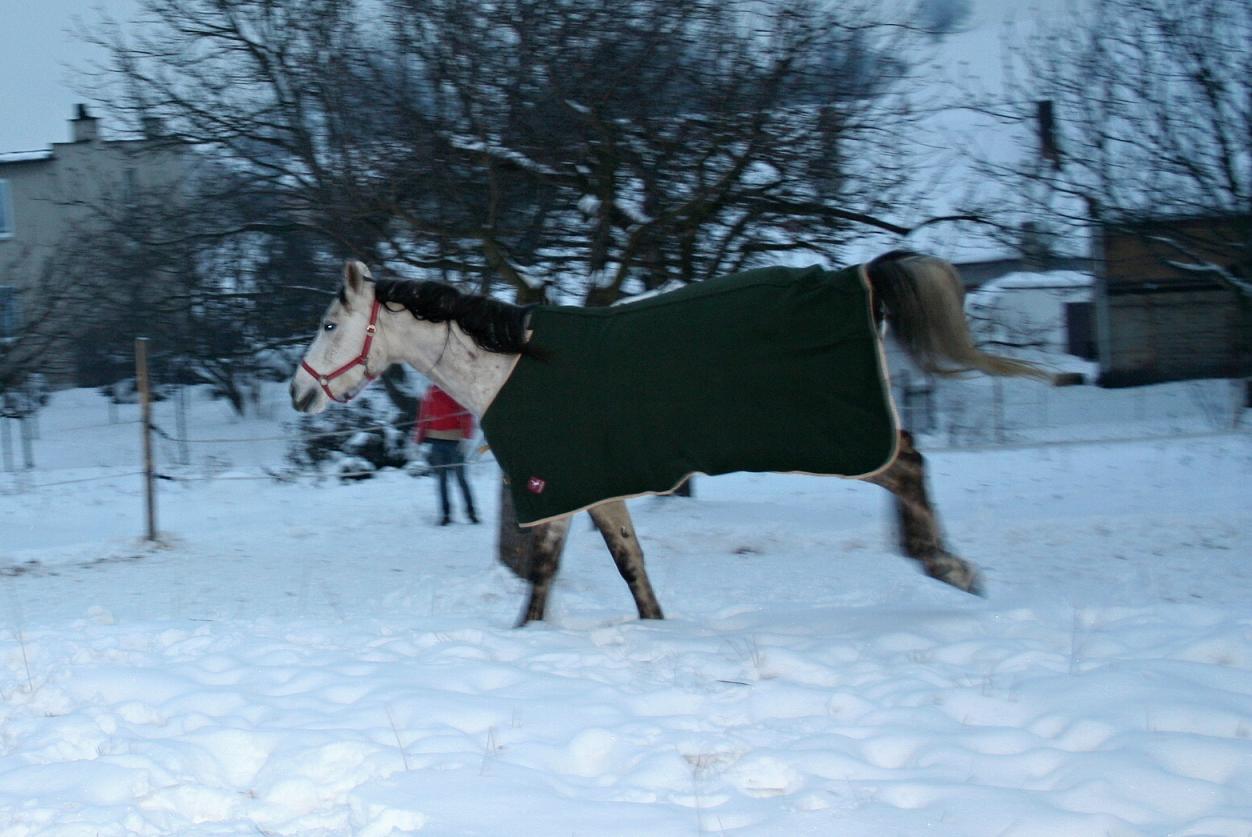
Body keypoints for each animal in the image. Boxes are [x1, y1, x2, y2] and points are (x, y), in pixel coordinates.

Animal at [290, 255, 1046, 625]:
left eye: (329, 325)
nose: (298, 392)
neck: (512, 367)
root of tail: (858, 277)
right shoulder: (594, 492)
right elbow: (629, 566)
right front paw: (657, 627)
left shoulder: (555, 488)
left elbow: (542, 574)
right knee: (910, 456)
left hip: (841, 434)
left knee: (907, 458)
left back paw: (948, 568)